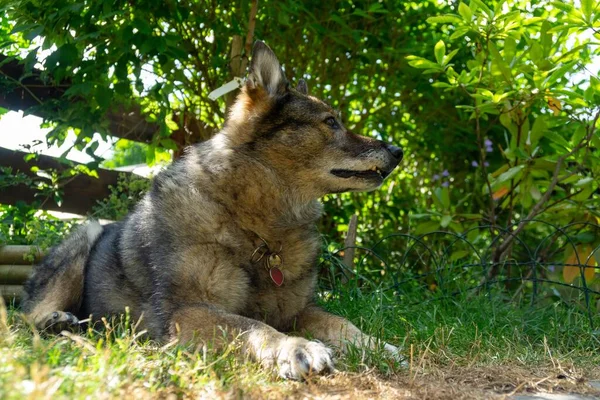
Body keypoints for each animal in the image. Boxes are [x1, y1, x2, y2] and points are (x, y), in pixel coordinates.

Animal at [24, 41, 408, 382]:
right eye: (330, 122)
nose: (398, 150)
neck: (252, 223)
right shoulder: (187, 311)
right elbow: (254, 326)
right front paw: (295, 347)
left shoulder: (298, 310)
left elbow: (340, 321)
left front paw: (377, 345)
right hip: (85, 236)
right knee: (25, 315)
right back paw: (55, 320)